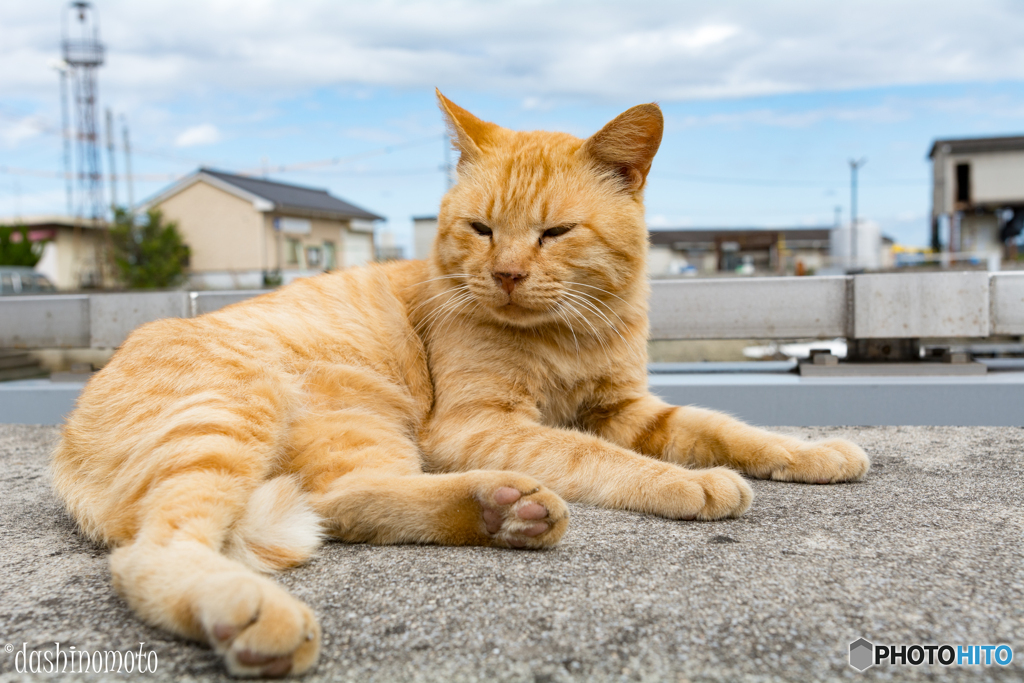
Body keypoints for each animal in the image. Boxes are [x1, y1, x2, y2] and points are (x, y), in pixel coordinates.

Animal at [51, 92, 868, 679]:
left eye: (554, 232)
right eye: (480, 228)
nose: (504, 273)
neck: (570, 335)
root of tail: (67, 438)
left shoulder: (627, 408)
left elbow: (722, 426)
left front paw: (813, 451)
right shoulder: (480, 422)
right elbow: (604, 459)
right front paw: (690, 484)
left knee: (345, 502)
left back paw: (502, 509)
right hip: (248, 411)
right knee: (160, 548)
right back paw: (251, 608)